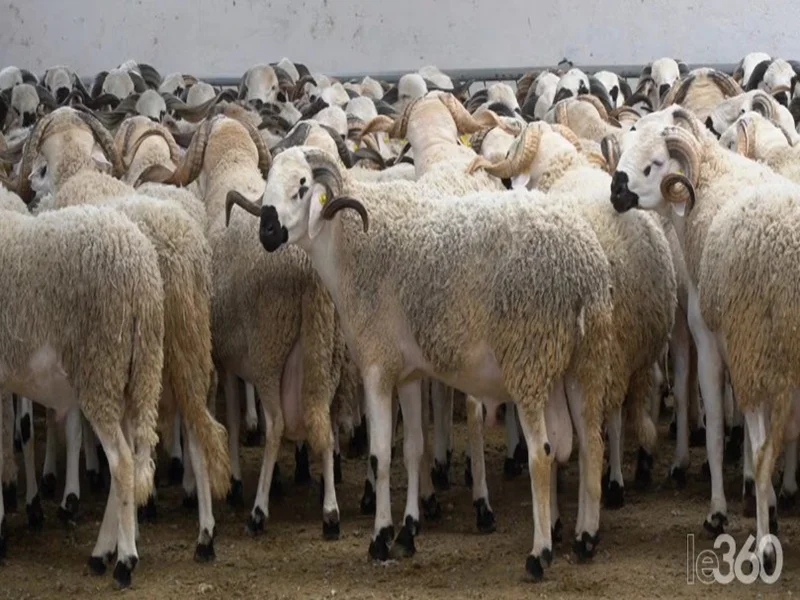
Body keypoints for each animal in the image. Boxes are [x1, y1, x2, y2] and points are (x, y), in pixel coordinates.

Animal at [0, 185, 164, 588]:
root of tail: (142, 273)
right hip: (131, 374)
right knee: (128, 460)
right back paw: (103, 552)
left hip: (100, 368)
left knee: (121, 462)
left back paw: (124, 561)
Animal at [10, 106, 231, 561]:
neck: (78, 172)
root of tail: (179, 252)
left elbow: (79, 427)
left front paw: (78, 502)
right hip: (188, 340)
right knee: (198, 425)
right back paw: (204, 533)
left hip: (142, 350)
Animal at [138, 114, 347, 539]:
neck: (230, 167)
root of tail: (306, 268)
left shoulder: (224, 356)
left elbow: (233, 418)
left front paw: (235, 481)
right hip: (324, 347)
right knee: (323, 415)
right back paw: (330, 511)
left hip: (269, 349)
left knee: (277, 424)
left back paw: (258, 512)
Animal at [468, 120, 675, 506]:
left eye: (509, 152)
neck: (562, 167)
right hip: (641, 341)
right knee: (640, 395)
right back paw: (638, 465)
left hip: (604, 345)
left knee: (608, 416)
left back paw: (612, 483)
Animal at [606, 108, 800, 574]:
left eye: (654, 164)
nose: (615, 192)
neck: (711, 188)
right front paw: (762, 499)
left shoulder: (716, 341)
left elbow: (716, 431)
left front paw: (720, 512)